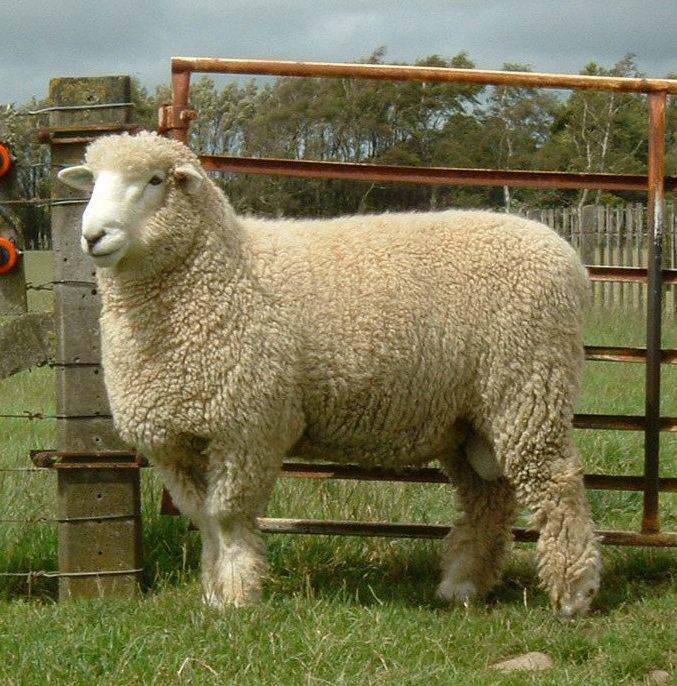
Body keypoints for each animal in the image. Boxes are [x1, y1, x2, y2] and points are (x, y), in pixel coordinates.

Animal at [58, 131, 601, 616]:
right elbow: (205, 520)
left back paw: (573, 594)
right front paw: (213, 593)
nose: (93, 235)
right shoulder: (174, 440)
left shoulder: (247, 427)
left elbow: (227, 517)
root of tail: (568, 256)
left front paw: (236, 597)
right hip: (469, 418)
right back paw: (462, 586)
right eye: (93, 181)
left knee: (556, 484)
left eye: (153, 180)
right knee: (489, 497)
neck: (217, 271)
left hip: (529, 387)